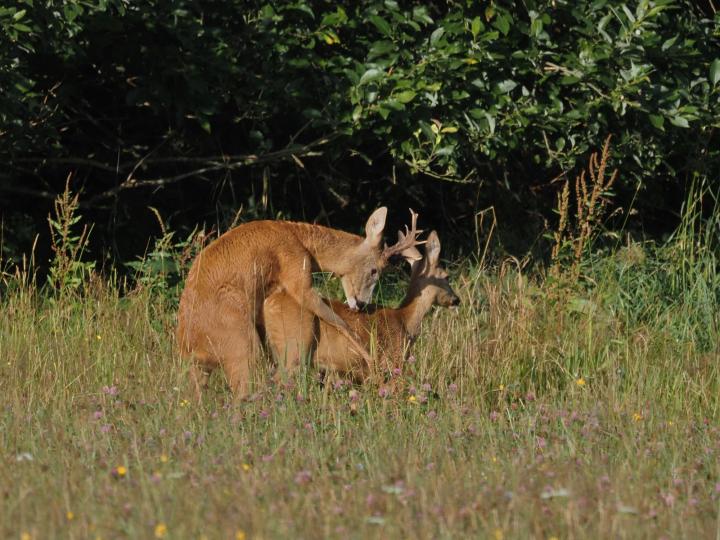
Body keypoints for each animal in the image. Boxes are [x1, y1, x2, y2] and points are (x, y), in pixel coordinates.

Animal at [176, 209, 422, 398]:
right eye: (374, 270)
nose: (360, 303)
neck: (302, 240)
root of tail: (188, 345)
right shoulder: (295, 267)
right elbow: (338, 321)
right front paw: (370, 358)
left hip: (205, 365)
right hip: (240, 342)